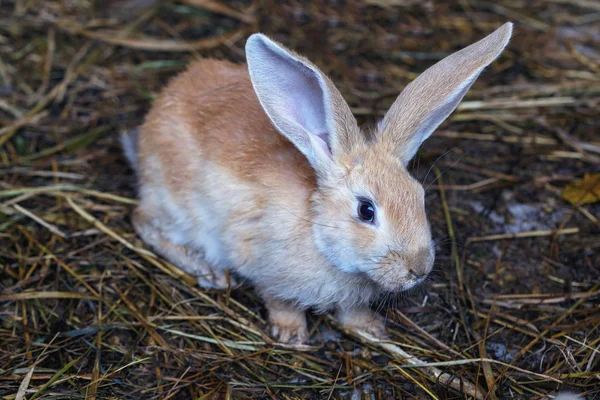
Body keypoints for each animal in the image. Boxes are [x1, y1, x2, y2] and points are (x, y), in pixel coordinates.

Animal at [122, 22, 510, 344]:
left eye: (421, 196)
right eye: (366, 211)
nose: (419, 269)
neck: (316, 228)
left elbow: (351, 311)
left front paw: (371, 329)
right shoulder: (262, 263)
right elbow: (279, 300)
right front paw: (291, 334)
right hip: (178, 206)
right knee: (143, 222)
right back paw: (207, 270)